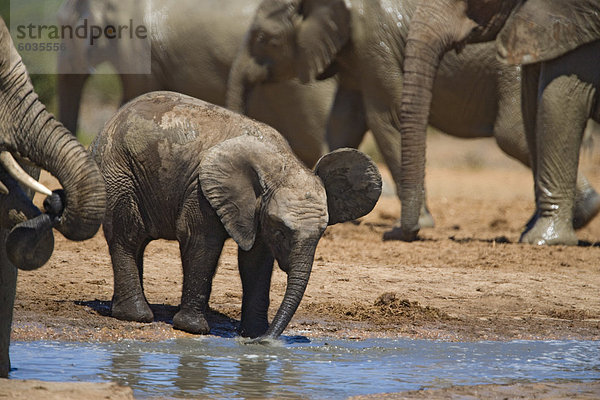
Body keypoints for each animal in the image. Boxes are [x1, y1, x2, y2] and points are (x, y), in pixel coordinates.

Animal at [91, 92, 382, 340]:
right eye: (281, 231)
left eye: (322, 234)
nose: (268, 341)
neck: (280, 165)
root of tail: (110, 121)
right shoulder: (200, 190)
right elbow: (201, 242)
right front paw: (193, 329)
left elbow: (257, 261)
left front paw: (254, 334)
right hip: (118, 171)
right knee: (127, 235)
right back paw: (136, 315)